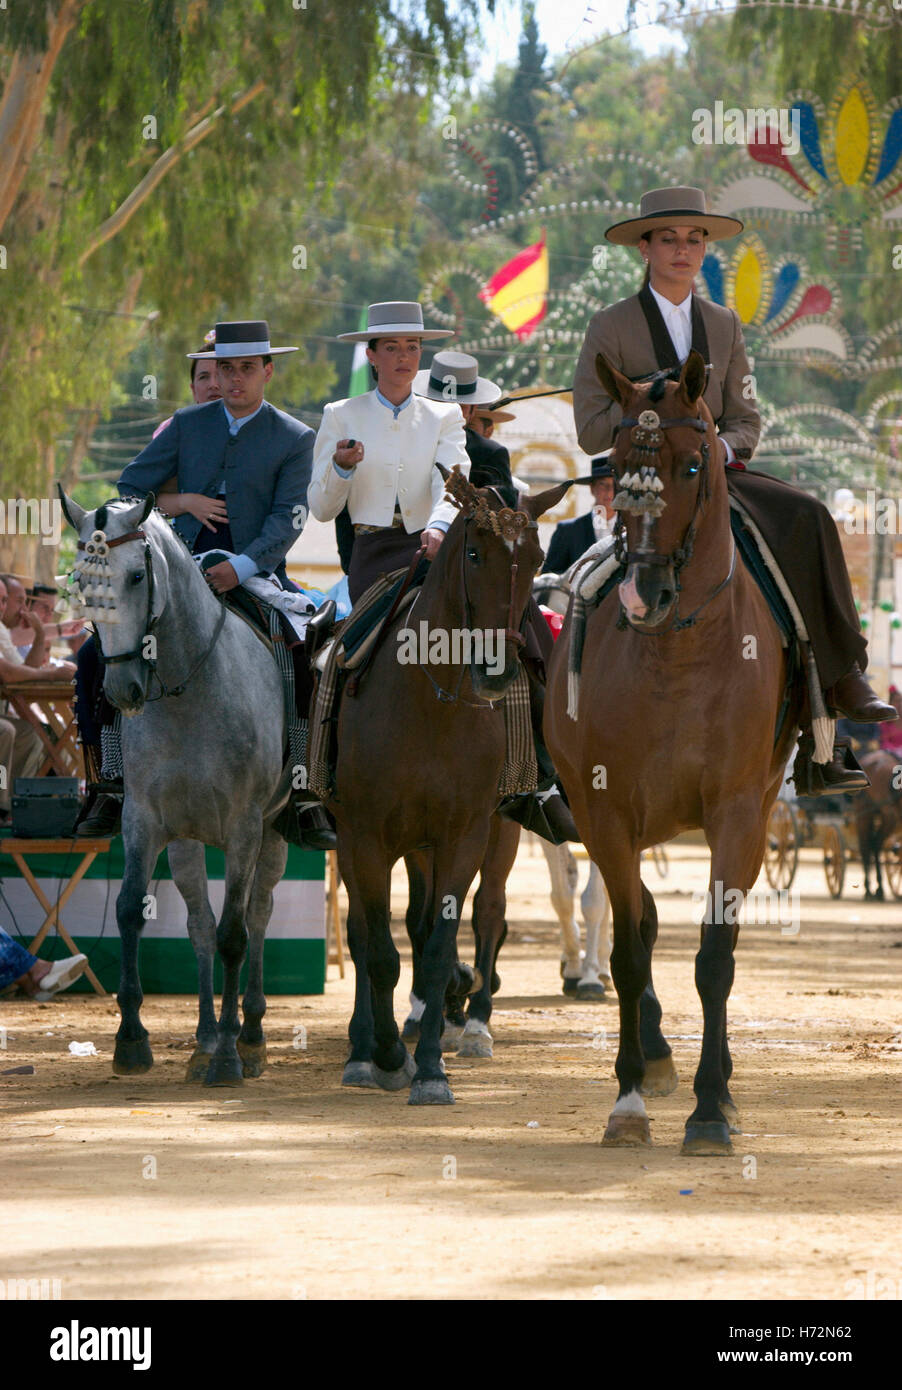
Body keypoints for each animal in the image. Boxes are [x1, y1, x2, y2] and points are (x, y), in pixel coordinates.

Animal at [59, 494, 290, 1089]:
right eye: (82, 581)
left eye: (138, 576)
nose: (122, 690)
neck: (193, 689)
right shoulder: (143, 819)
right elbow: (130, 913)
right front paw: (131, 1041)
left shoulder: (244, 828)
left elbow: (236, 932)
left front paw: (231, 1057)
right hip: (186, 840)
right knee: (200, 926)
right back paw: (205, 1040)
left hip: (274, 833)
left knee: (258, 917)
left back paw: (249, 1039)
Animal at [326, 472, 567, 1100]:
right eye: (475, 553)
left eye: (538, 557)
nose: (498, 668)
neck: (429, 703)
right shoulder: (366, 838)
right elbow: (378, 950)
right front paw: (385, 1054)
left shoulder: (465, 834)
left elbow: (437, 947)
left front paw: (431, 1067)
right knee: (368, 933)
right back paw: (366, 1047)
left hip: (492, 835)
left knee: (488, 912)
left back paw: (473, 1019)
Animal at [544, 353, 800, 1156]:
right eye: (620, 457)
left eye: (693, 465)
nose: (644, 593)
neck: (680, 655)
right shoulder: (605, 815)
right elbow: (628, 951)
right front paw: (628, 1102)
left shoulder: (738, 815)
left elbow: (716, 958)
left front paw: (711, 1108)